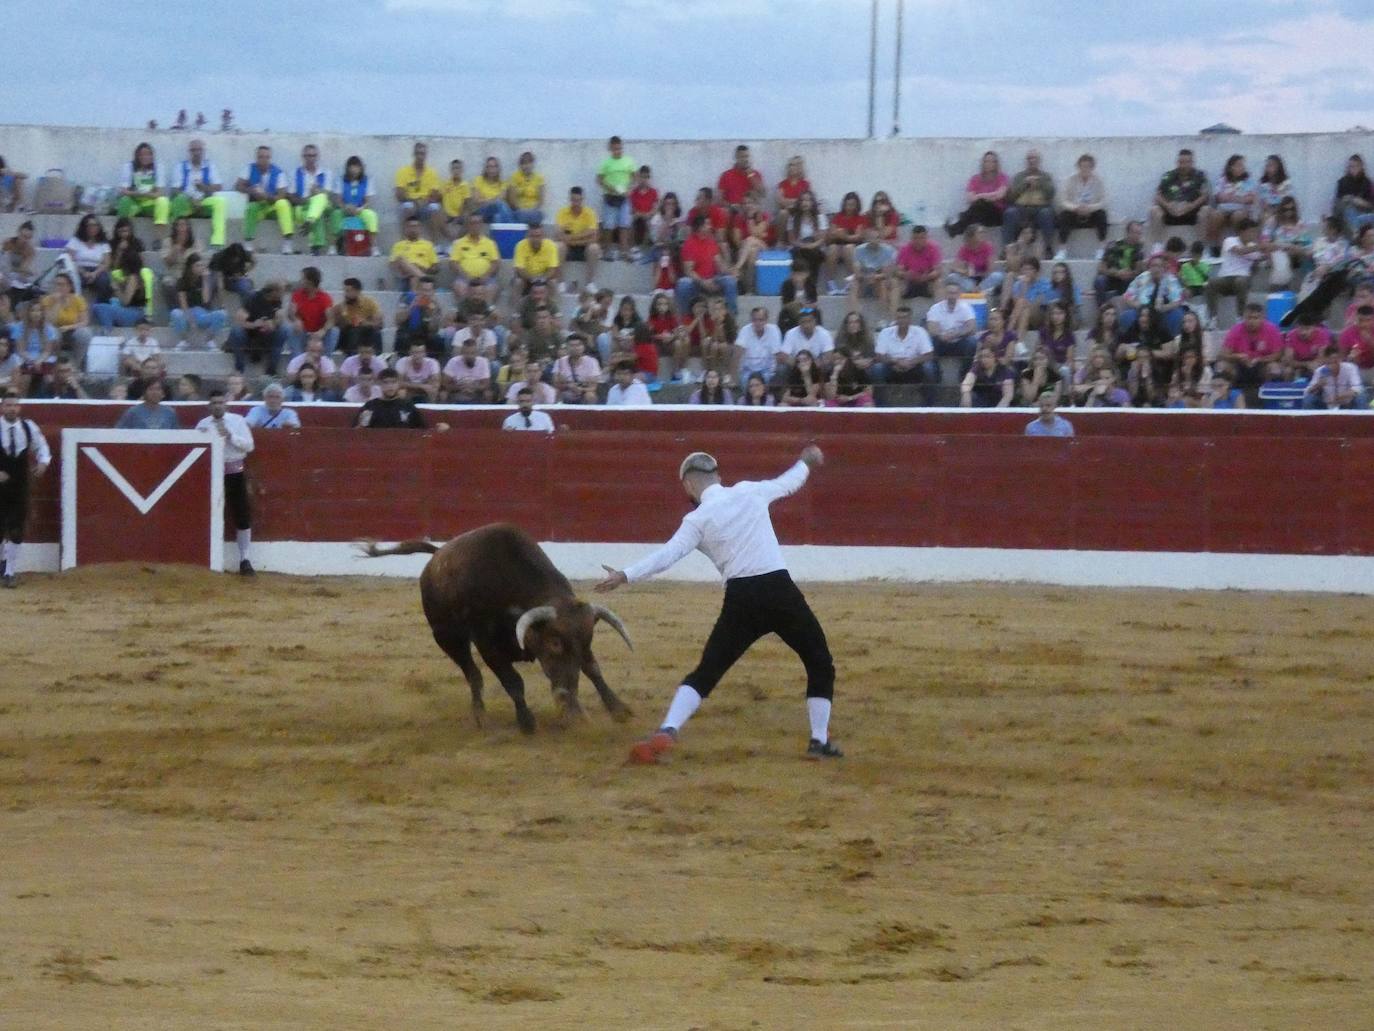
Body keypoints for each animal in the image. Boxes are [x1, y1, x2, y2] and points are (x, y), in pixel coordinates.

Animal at [357, 525, 629, 736]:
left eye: (587, 641)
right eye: (554, 642)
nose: (566, 694)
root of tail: (437, 555)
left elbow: (593, 669)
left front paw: (619, 710)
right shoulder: (487, 645)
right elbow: (513, 681)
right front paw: (527, 723)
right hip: (446, 637)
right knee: (472, 673)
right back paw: (480, 716)